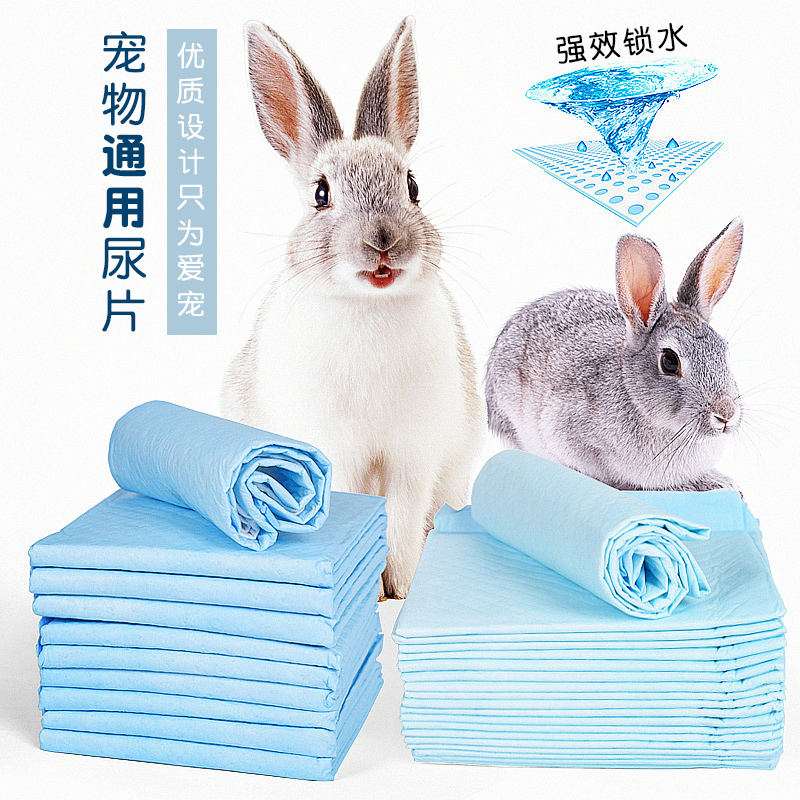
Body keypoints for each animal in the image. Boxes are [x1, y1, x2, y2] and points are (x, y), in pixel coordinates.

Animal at [221, 18, 485, 599]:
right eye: (321, 194)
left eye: (412, 186)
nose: (383, 241)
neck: (370, 306)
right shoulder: (337, 453)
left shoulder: (412, 458)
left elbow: (402, 525)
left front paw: (401, 592)